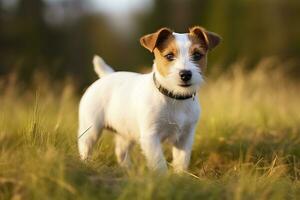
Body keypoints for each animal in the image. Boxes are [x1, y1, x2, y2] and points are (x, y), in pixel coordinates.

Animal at [78, 25, 221, 172]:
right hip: (91, 128)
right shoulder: (150, 136)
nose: (185, 74)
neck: (175, 97)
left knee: (121, 151)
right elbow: (159, 162)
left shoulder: (185, 138)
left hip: (126, 132)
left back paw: (127, 169)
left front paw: (179, 175)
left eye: (197, 55)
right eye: (169, 56)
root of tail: (106, 75)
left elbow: (181, 162)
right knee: (85, 146)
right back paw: (86, 164)